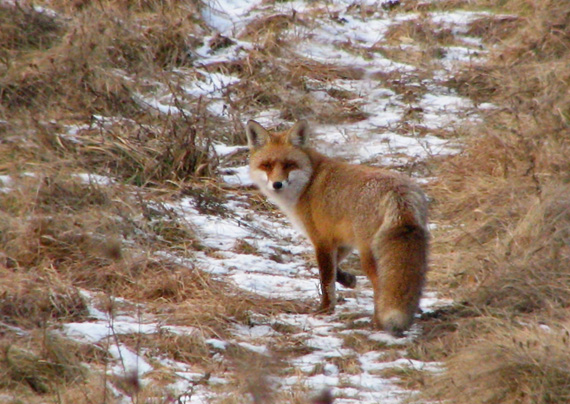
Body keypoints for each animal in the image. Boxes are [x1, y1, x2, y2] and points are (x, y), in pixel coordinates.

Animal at [244, 120, 426, 338]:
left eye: (289, 164)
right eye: (267, 165)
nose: (277, 184)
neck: (308, 183)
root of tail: (398, 192)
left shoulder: (321, 240)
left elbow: (326, 279)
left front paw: (324, 310)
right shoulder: (343, 240)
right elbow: (335, 270)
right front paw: (349, 280)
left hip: (368, 254)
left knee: (380, 283)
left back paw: (377, 323)